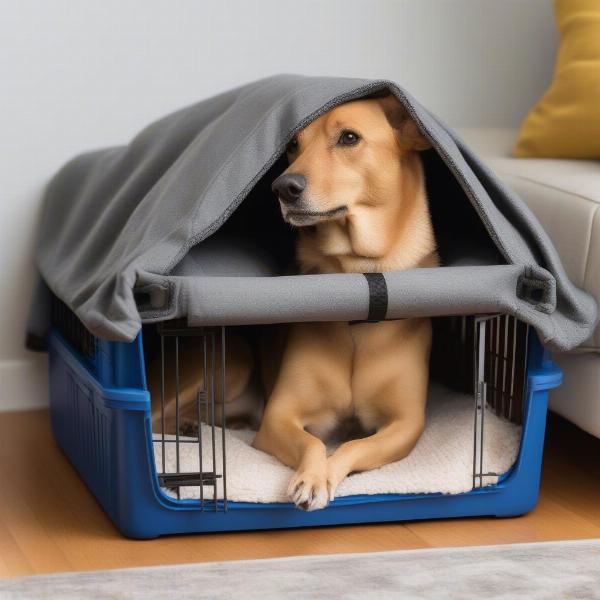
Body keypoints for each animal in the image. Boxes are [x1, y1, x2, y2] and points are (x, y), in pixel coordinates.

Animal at [251, 91, 438, 508]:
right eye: (292, 145)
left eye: (349, 138)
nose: (282, 187)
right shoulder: (278, 415)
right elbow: (314, 444)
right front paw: (312, 476)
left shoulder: (407, 423)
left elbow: (352, 446)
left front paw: (323, 476)